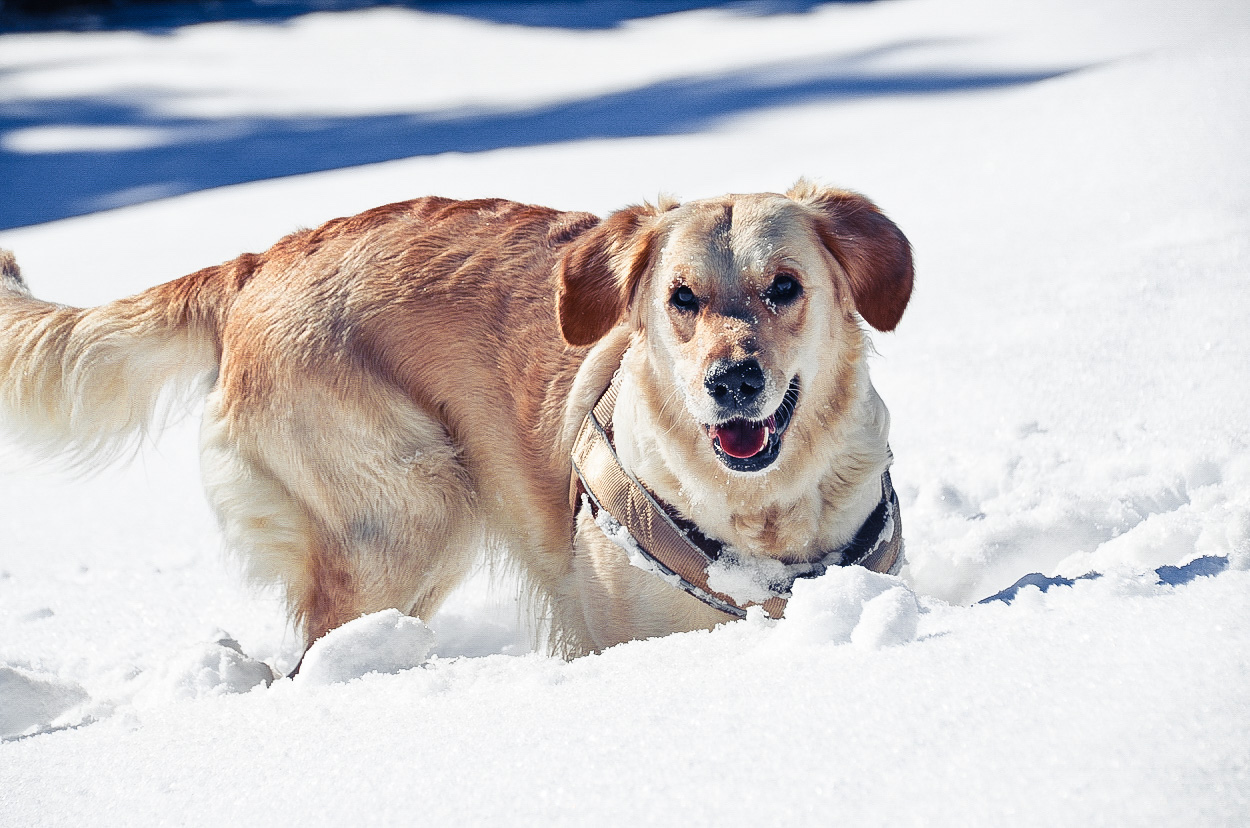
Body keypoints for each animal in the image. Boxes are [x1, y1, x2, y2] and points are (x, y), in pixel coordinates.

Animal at [0, 183, 915, 660]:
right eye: (680, 299)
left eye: (786, 286)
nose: (732, 381)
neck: (764, 518)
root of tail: (260, 264)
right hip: (409, 513)